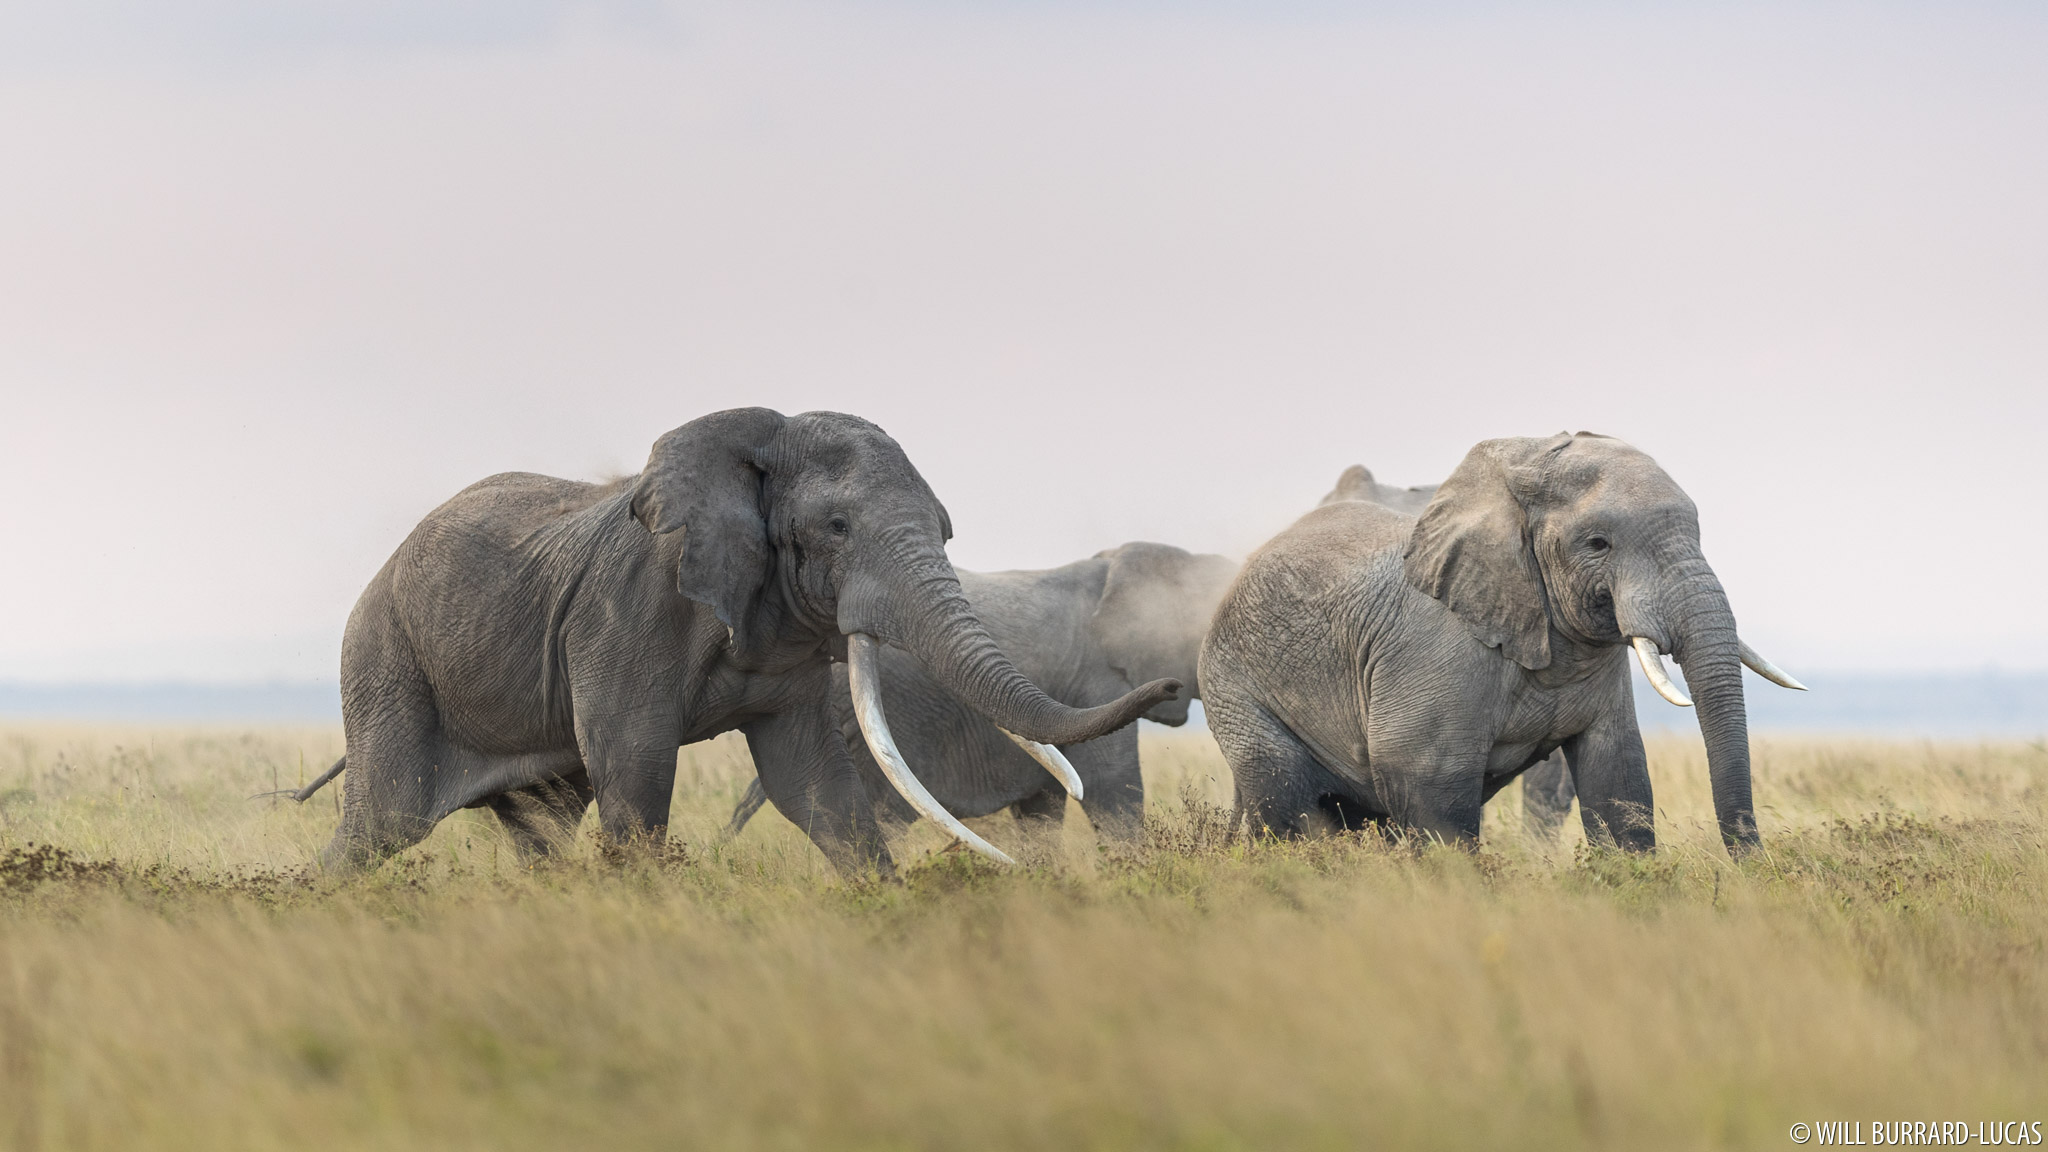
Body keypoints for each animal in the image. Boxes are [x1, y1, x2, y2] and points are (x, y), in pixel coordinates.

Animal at [294, 403, 1179, 869]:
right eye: (837, 527)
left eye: (945, 528)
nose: (1170, 686)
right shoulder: (627, 613)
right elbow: (637, 771)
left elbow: (812, 784)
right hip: (385, 659)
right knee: (382, 821)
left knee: (544, 826)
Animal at [1204, 430, 1802, 852]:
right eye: (1598, 544)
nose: (1756, 871)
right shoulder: (1434, 647)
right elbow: (1426, 780)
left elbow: (1618, 775)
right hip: (1236, 688)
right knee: (1281, 801)